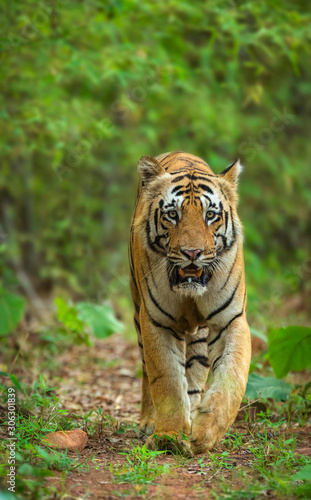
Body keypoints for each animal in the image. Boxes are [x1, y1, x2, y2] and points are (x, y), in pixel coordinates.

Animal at [129, 150, 251, 456]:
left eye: (210, 215)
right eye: (173, 214)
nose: (192, 253)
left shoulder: (230, 320)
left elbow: (232, 376)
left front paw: (205, 433)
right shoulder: (156, 322)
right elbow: (167, 380)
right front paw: (170, 436)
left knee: (195, 373)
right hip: (137, 311)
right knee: (148, 372)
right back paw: (150, 422)